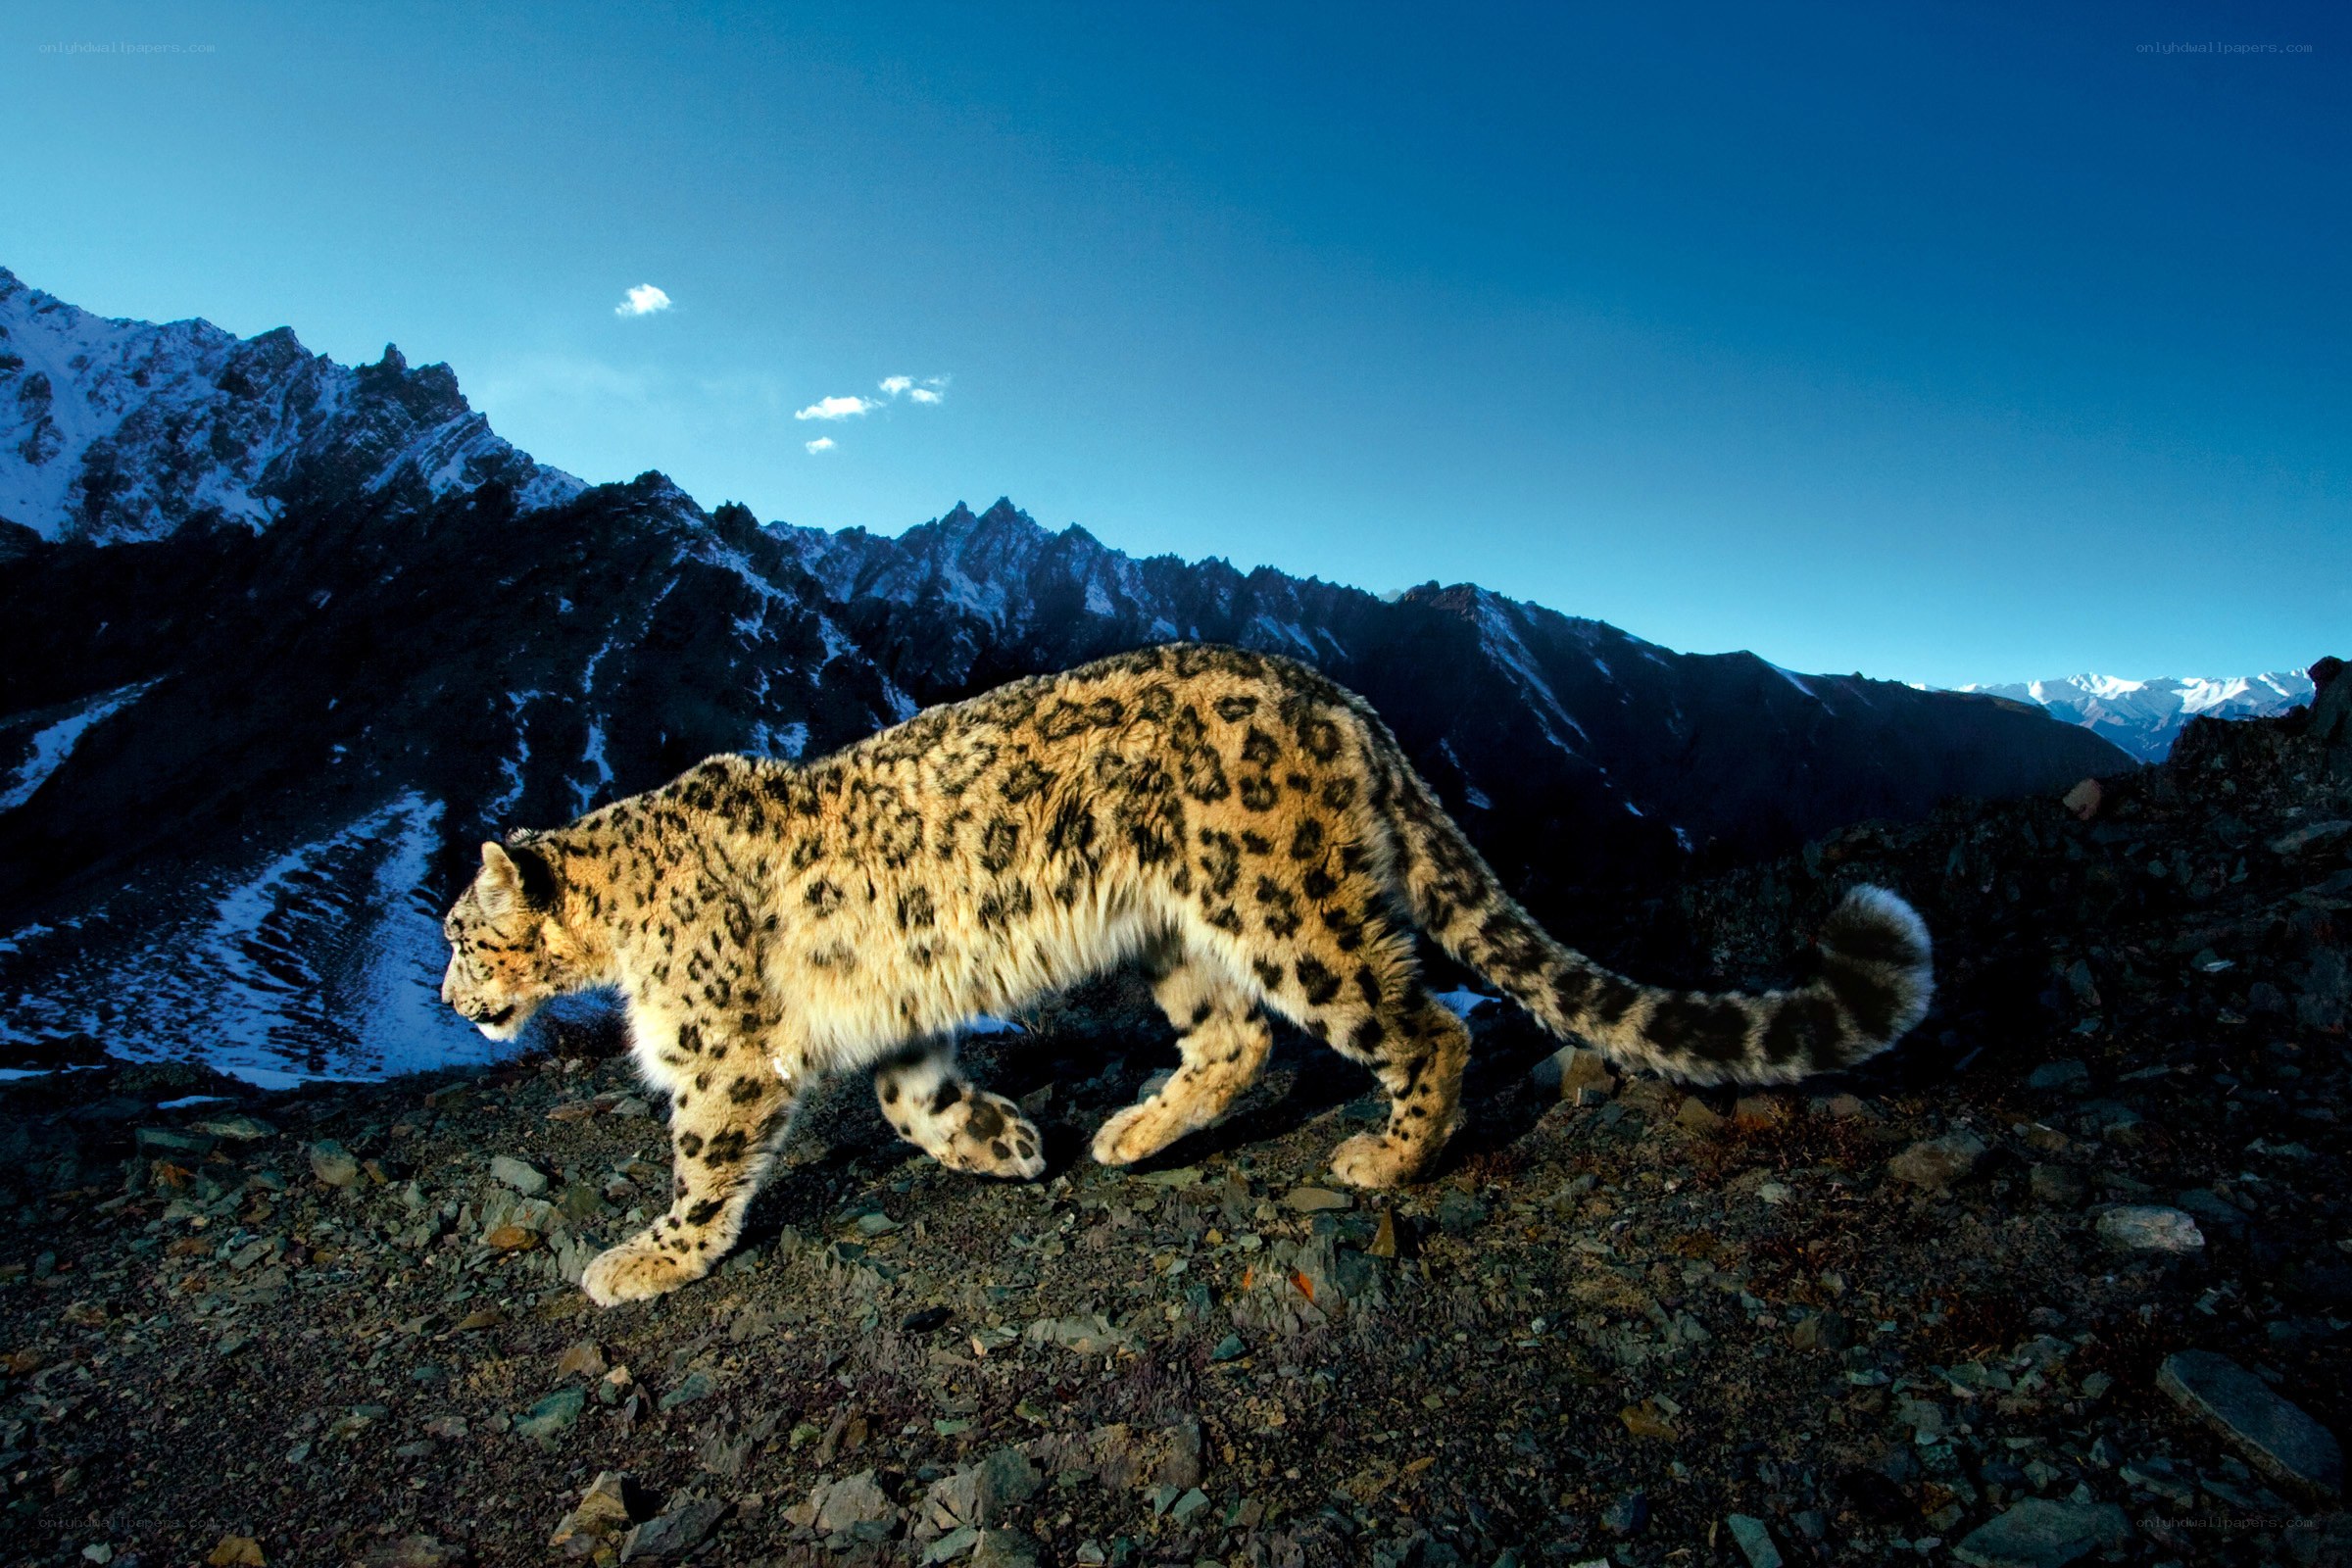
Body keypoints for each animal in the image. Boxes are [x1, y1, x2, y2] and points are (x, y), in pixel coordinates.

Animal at [438, 642, 1933, 1307]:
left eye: (457, 932)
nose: (450, 999)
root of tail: (1339, 696)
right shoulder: (896, 1018)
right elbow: (913, 1100)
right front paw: (1005, 1143)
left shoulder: (721, 1052)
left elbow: (705, 1161)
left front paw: (644, 1258)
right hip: (1176, 934)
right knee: (1238, 1042)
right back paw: (1127, 1133)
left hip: (1287, 905)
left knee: (1418, 1027)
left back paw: (1383, 1159)